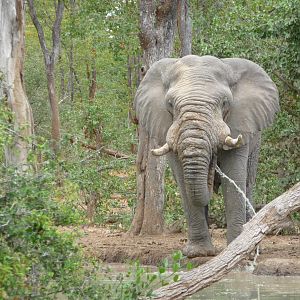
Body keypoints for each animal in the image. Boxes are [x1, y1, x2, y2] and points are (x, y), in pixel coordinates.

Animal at [134, 55, 278, 258]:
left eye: (225, 103)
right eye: (170, 104)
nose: (212, 170)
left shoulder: (239, 123)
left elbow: (234, 177)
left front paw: (237, 250)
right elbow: (183, 181)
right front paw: (197, 253)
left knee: (248, 183)